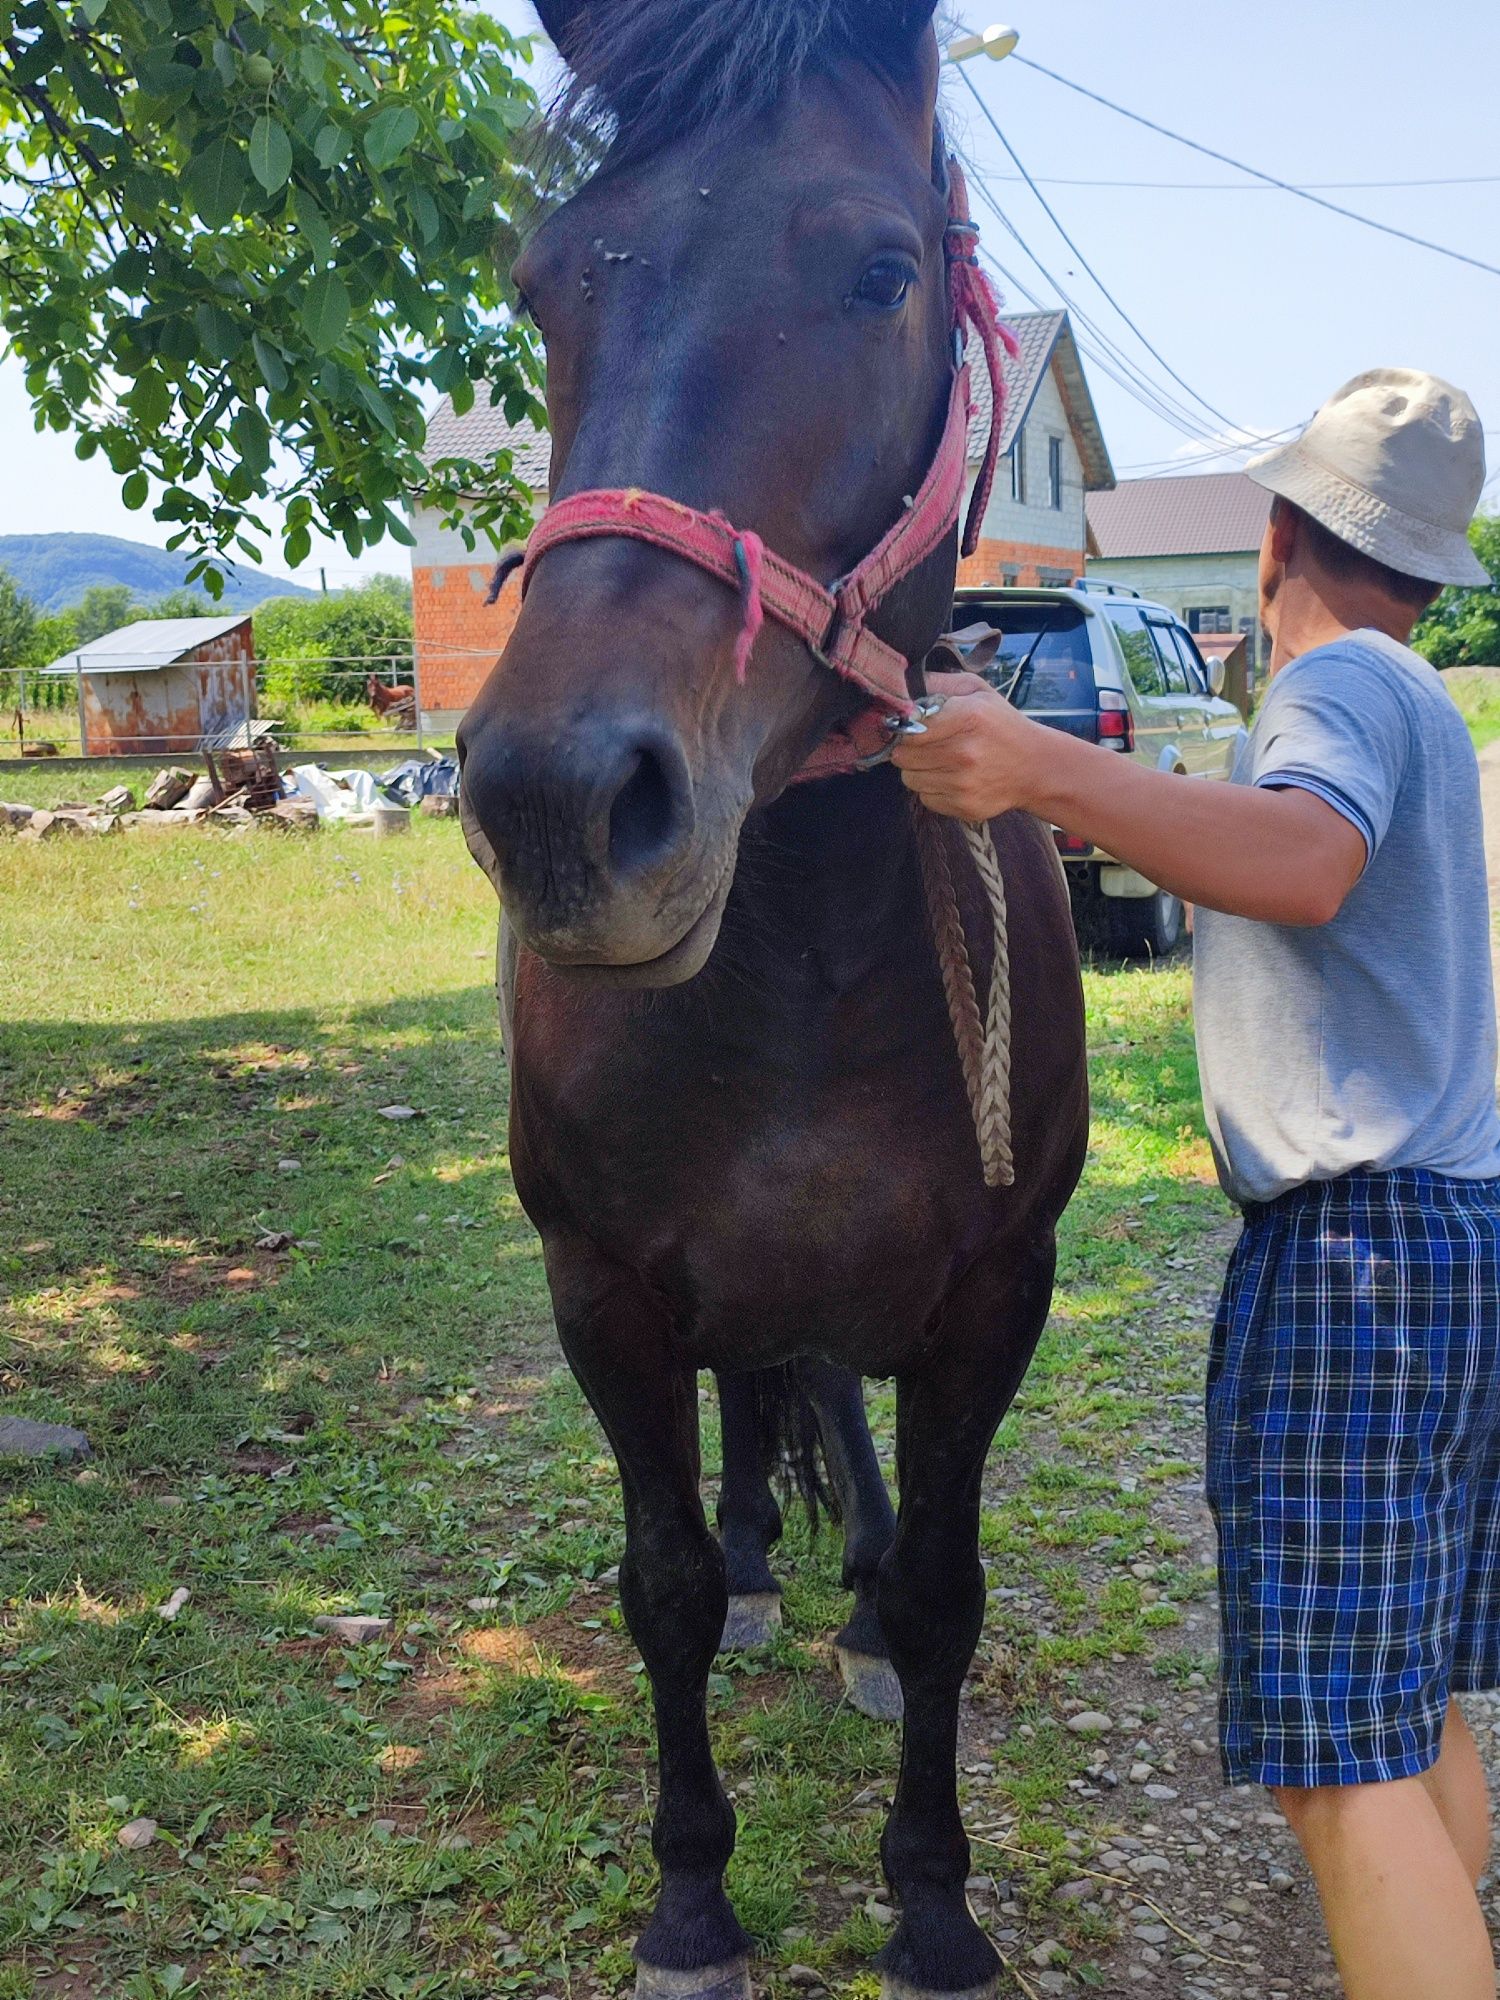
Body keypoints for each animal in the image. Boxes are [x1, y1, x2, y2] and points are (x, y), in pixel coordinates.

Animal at [458, 7, 1096, 1992]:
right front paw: (690, 1898)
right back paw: (760, 1558)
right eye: (546, 286)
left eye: (882, 270)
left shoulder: (993, 1293)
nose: (558, 803)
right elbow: (657, 1582)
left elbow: (950, 1588)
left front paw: (934, 1900)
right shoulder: (603, 1292)